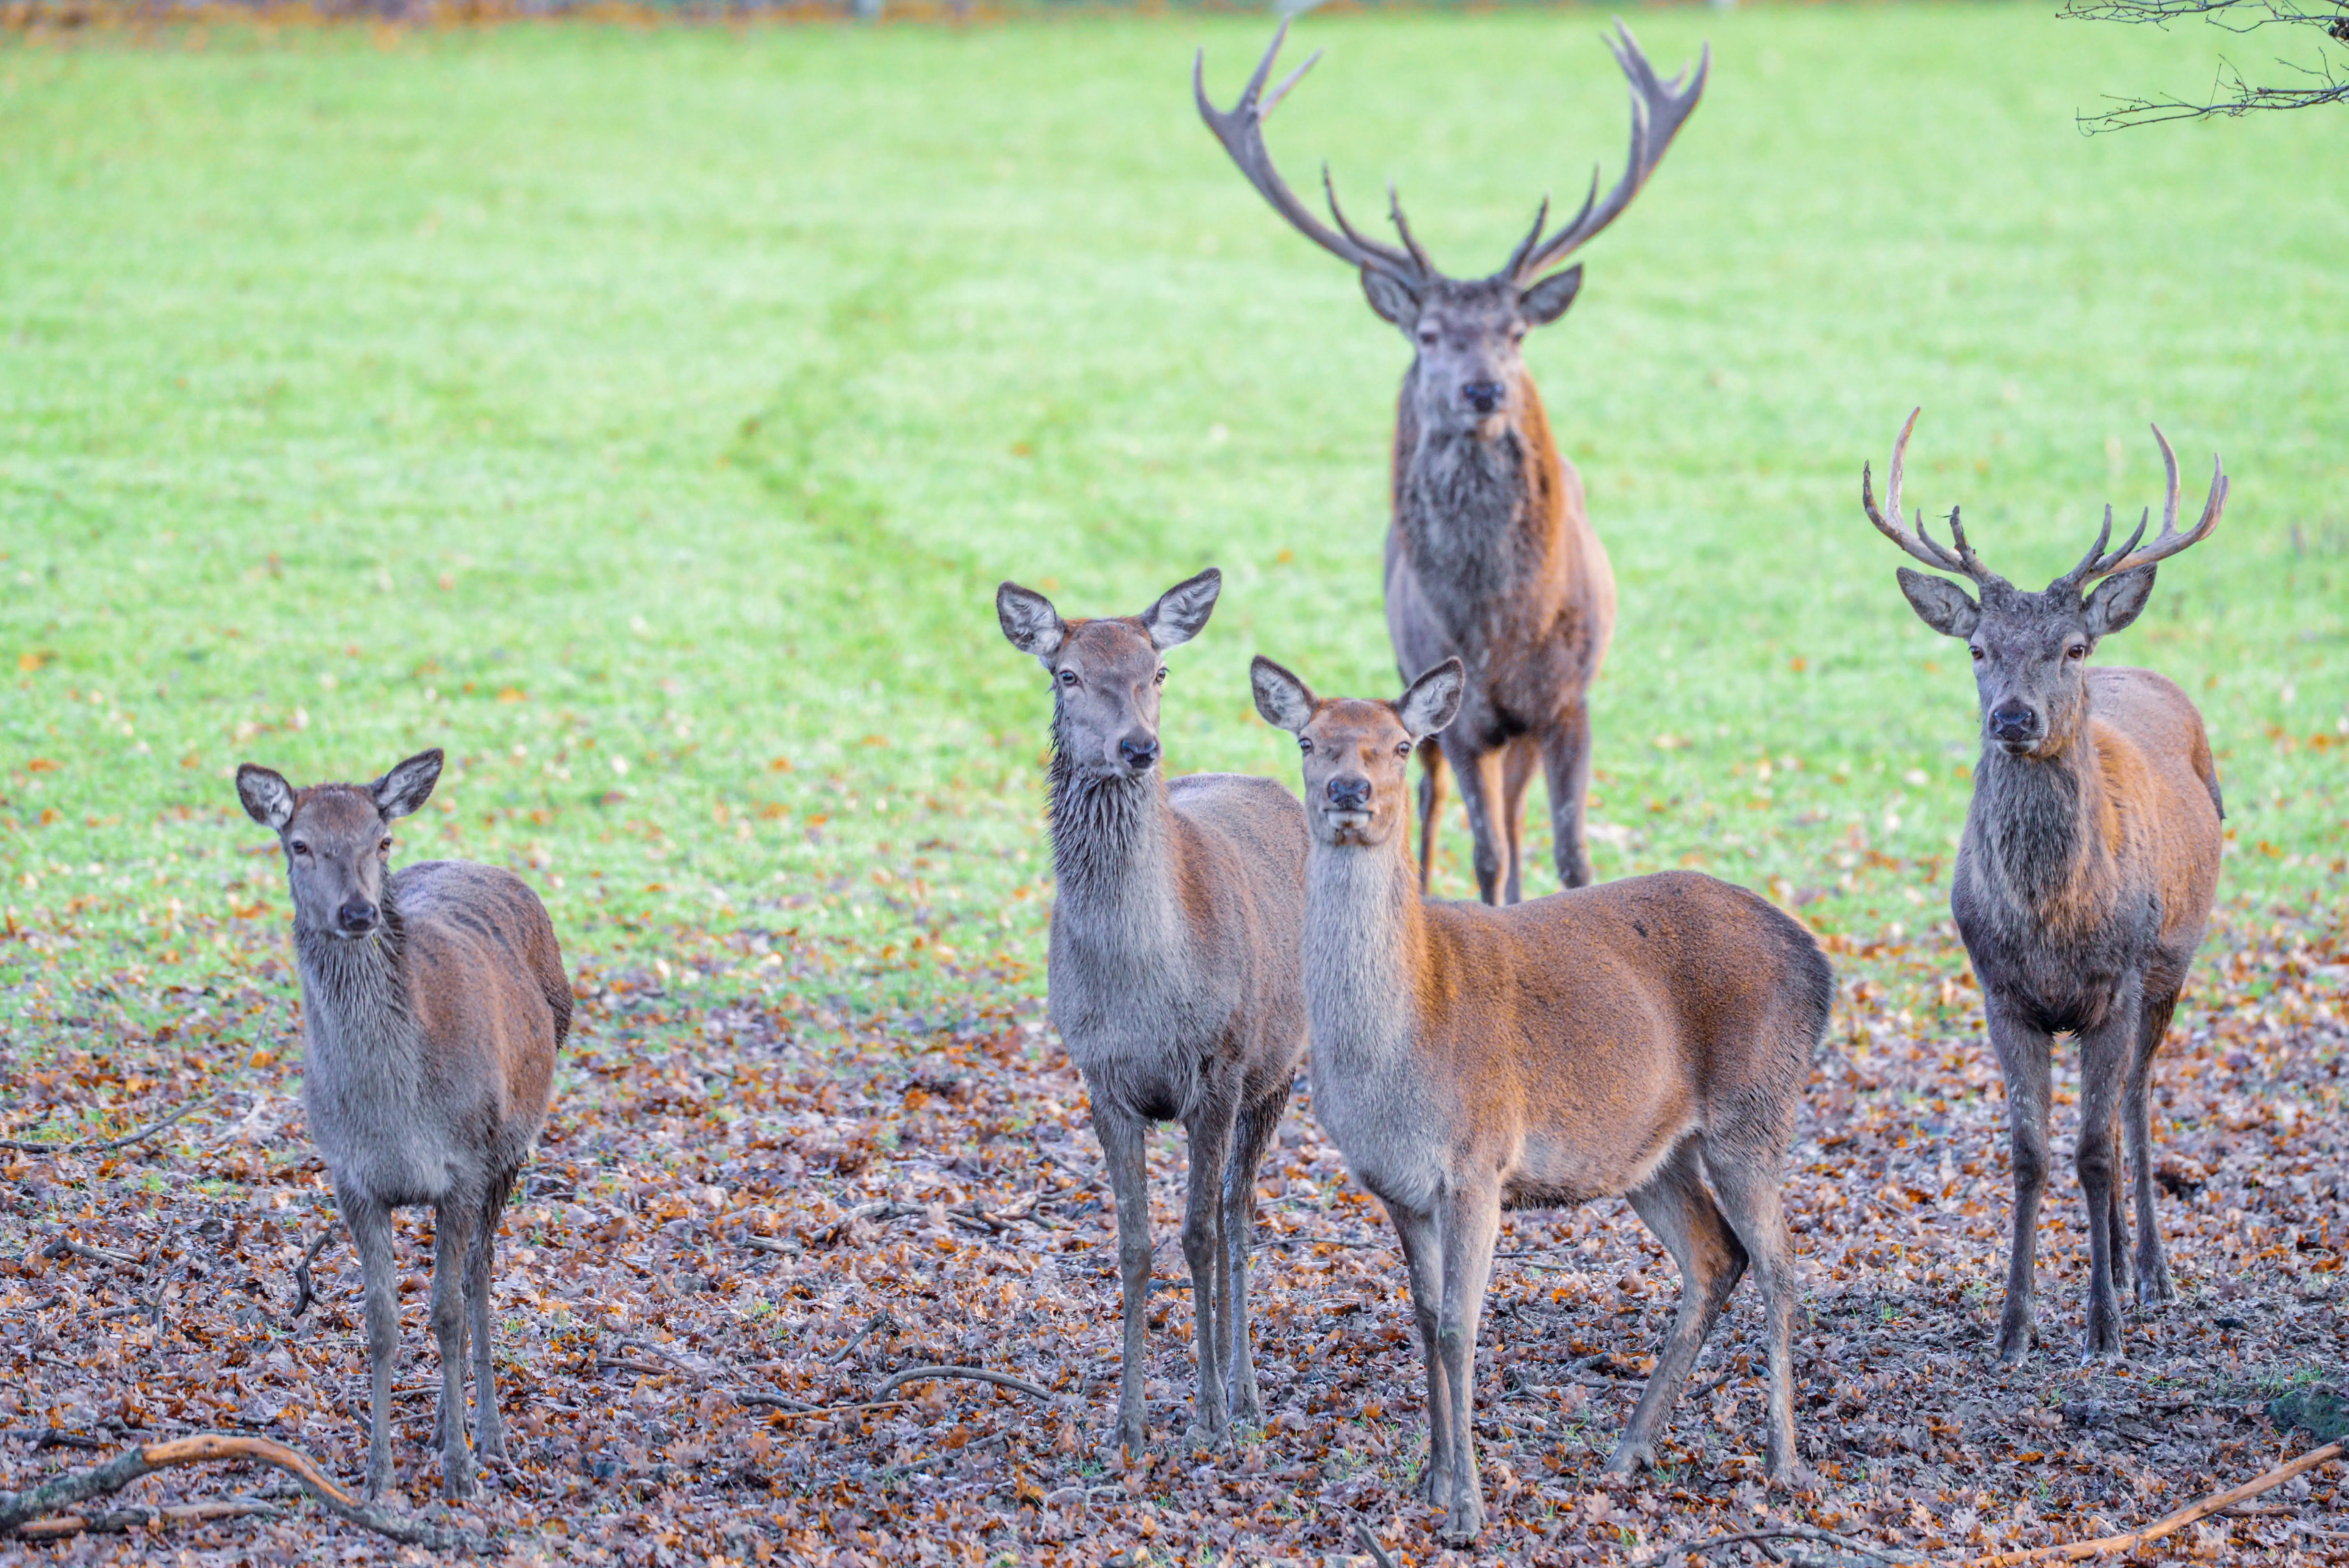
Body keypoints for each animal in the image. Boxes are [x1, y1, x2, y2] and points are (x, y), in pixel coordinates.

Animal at [236, 748, 568, 1501]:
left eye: (381, 841)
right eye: (300, 845)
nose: (359, 911)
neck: (396, 1111)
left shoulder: (465, 1166)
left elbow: (446, 1312)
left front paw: (461, 1474)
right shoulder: (350, 1178)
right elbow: (382, 1320)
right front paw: (377, 1473)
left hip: (514, 1146)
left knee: (478, 1281)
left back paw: (486, 1437)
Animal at [994, 569, 1310, 1455]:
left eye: (1157, 671)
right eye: (1067, 674)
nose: (1139, 747)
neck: (1144, 988)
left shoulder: (1221, 1066)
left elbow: (1196, 1234)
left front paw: (1207, 1412)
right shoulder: (1099, 1077)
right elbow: (1134, 1243)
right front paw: (1128, 1421)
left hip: (1282, 1064)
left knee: (1238, 1214)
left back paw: (1245, 1391)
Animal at [1198, 20, 1707, 904]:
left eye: (1516, 332)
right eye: (1428, 334)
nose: (1482, 389)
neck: (1506, 618)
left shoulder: (1569, 702)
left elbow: (1570, 852)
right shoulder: (1461, 714)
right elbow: (1487, 851)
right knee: (1441, 812)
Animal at [1249, 654, 1831, 1544]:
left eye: (1400, 744)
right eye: (1309, 741)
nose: (1350, 791)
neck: (1398, 1046)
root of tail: (1822, 965)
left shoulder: (1478, 1162)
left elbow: (1460, 1326)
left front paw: (1467, 1507)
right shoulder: (1397, 1186)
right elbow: (1424, 1319)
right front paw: (1430, 1481)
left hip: (1754, 1112)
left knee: (1781, 1265)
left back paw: (1783, 1463)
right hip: (1651, 1154)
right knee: (1715, 1256)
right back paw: (1629, 1449)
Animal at [1861, 410, 2227, 1364]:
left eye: (2070, 648)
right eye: (1978, 648)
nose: (2014, 716)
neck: (2051, 922)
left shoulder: (2118, 984)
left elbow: (2092, 1151)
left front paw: (2101, 1328)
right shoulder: (1999, 992)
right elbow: (2027, 1153)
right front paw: (2013, 1326)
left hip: (2172, 967)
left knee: (2134, 1104)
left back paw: (2149, 1277)